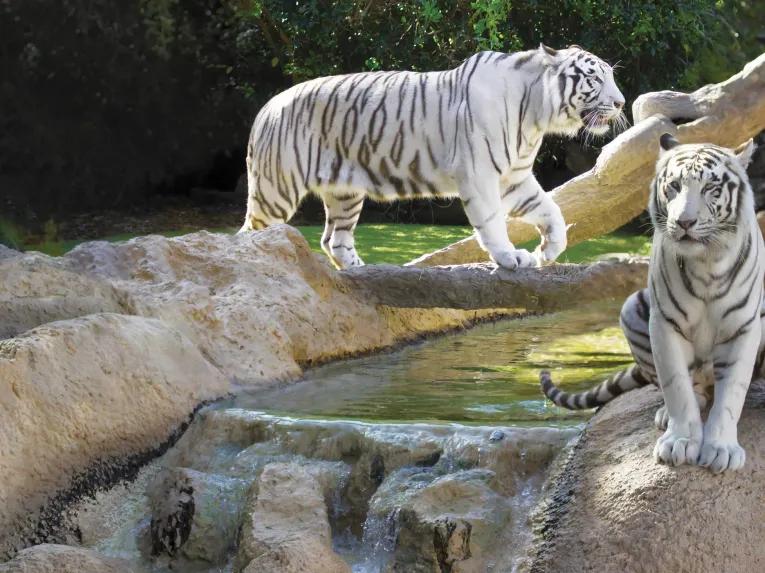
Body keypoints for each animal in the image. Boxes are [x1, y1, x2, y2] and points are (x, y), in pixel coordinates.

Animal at [239, 44, 626, 270]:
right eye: (594, 78)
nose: (622, 102)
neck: (536, 114)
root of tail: (267, 107)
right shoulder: (481, 176)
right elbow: (493, 223)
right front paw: (511, 256)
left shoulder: (514, 178)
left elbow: (552, 211)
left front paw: (546, 251)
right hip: (277, 190)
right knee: (249, 234)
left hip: (345, 192)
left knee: (333, 240)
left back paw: (362, 270)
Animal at [540, 134, 762, 473]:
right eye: (674, 186)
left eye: (710, 188)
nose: (685, 222)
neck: (707, 263)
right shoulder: (664, 323)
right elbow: (676, 386)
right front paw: (680, 441)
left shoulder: (743, 326)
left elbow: (731, 394)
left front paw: (721, 448)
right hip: (631, 308)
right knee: (689, 386)